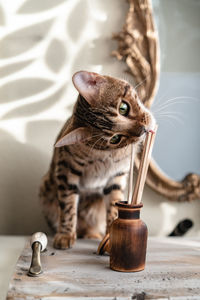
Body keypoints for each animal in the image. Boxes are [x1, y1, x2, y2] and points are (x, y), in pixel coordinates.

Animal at [38, 70, 155, 248]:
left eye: (123, 108)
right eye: (115, 138)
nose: (142, 130)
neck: (112, 155)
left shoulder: (116, 177)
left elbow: (114, 205)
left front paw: (110, 236)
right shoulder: (65, 171)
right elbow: (68, 206)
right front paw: (65, 235)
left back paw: (93, 234)